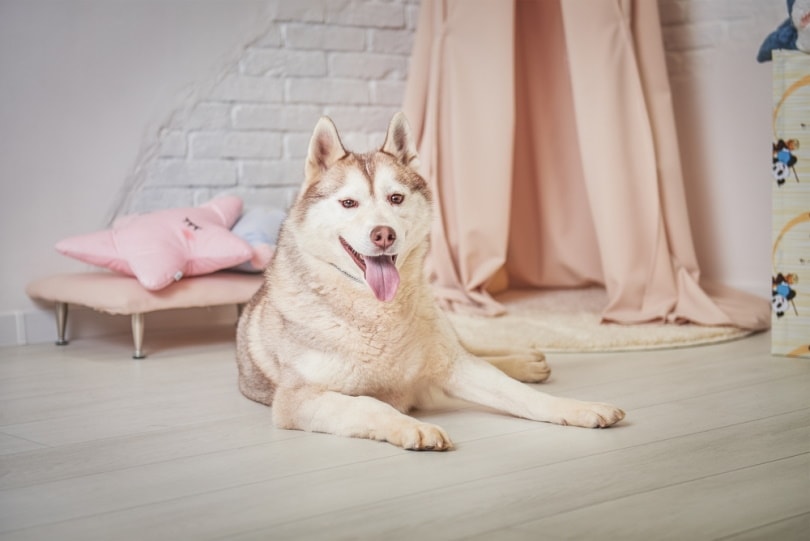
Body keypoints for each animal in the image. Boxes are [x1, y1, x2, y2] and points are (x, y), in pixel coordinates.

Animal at [235, 114, 624, 452]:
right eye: (348, 203)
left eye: (396, 198)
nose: (383, 234)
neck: (376, 312)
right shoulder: (298, 399)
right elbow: (369, 405)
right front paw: (412, 427)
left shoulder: (452, 367)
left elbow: (521, 395)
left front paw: (575, 407)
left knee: (473, 350)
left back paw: (524, 361)